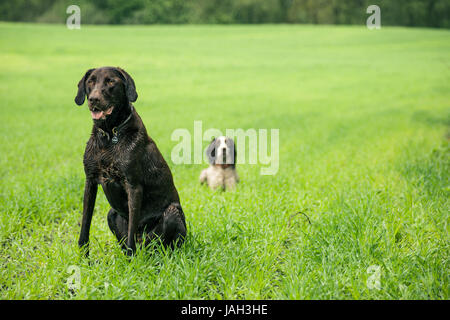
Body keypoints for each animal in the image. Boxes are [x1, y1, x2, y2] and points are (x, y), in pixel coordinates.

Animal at [74, 66, 186, 256]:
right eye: (90, 81)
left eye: (111, 81)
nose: (93, 99)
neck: (110, 135)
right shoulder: (90, 181)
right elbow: (85, 225)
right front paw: (83, 258)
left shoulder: (133, 186)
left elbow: (132, 229)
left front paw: (130, 260)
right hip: (111, 213)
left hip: (172, 213)